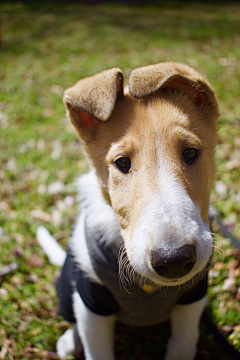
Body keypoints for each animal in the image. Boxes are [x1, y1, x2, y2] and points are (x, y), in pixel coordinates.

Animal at [36, 62, 218, 360]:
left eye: (191, 152)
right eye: (122, 162)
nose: (174, 259)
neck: (149, 288)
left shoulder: (191, 297)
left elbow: (182, 343)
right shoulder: (92, 304)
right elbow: (97, 349)